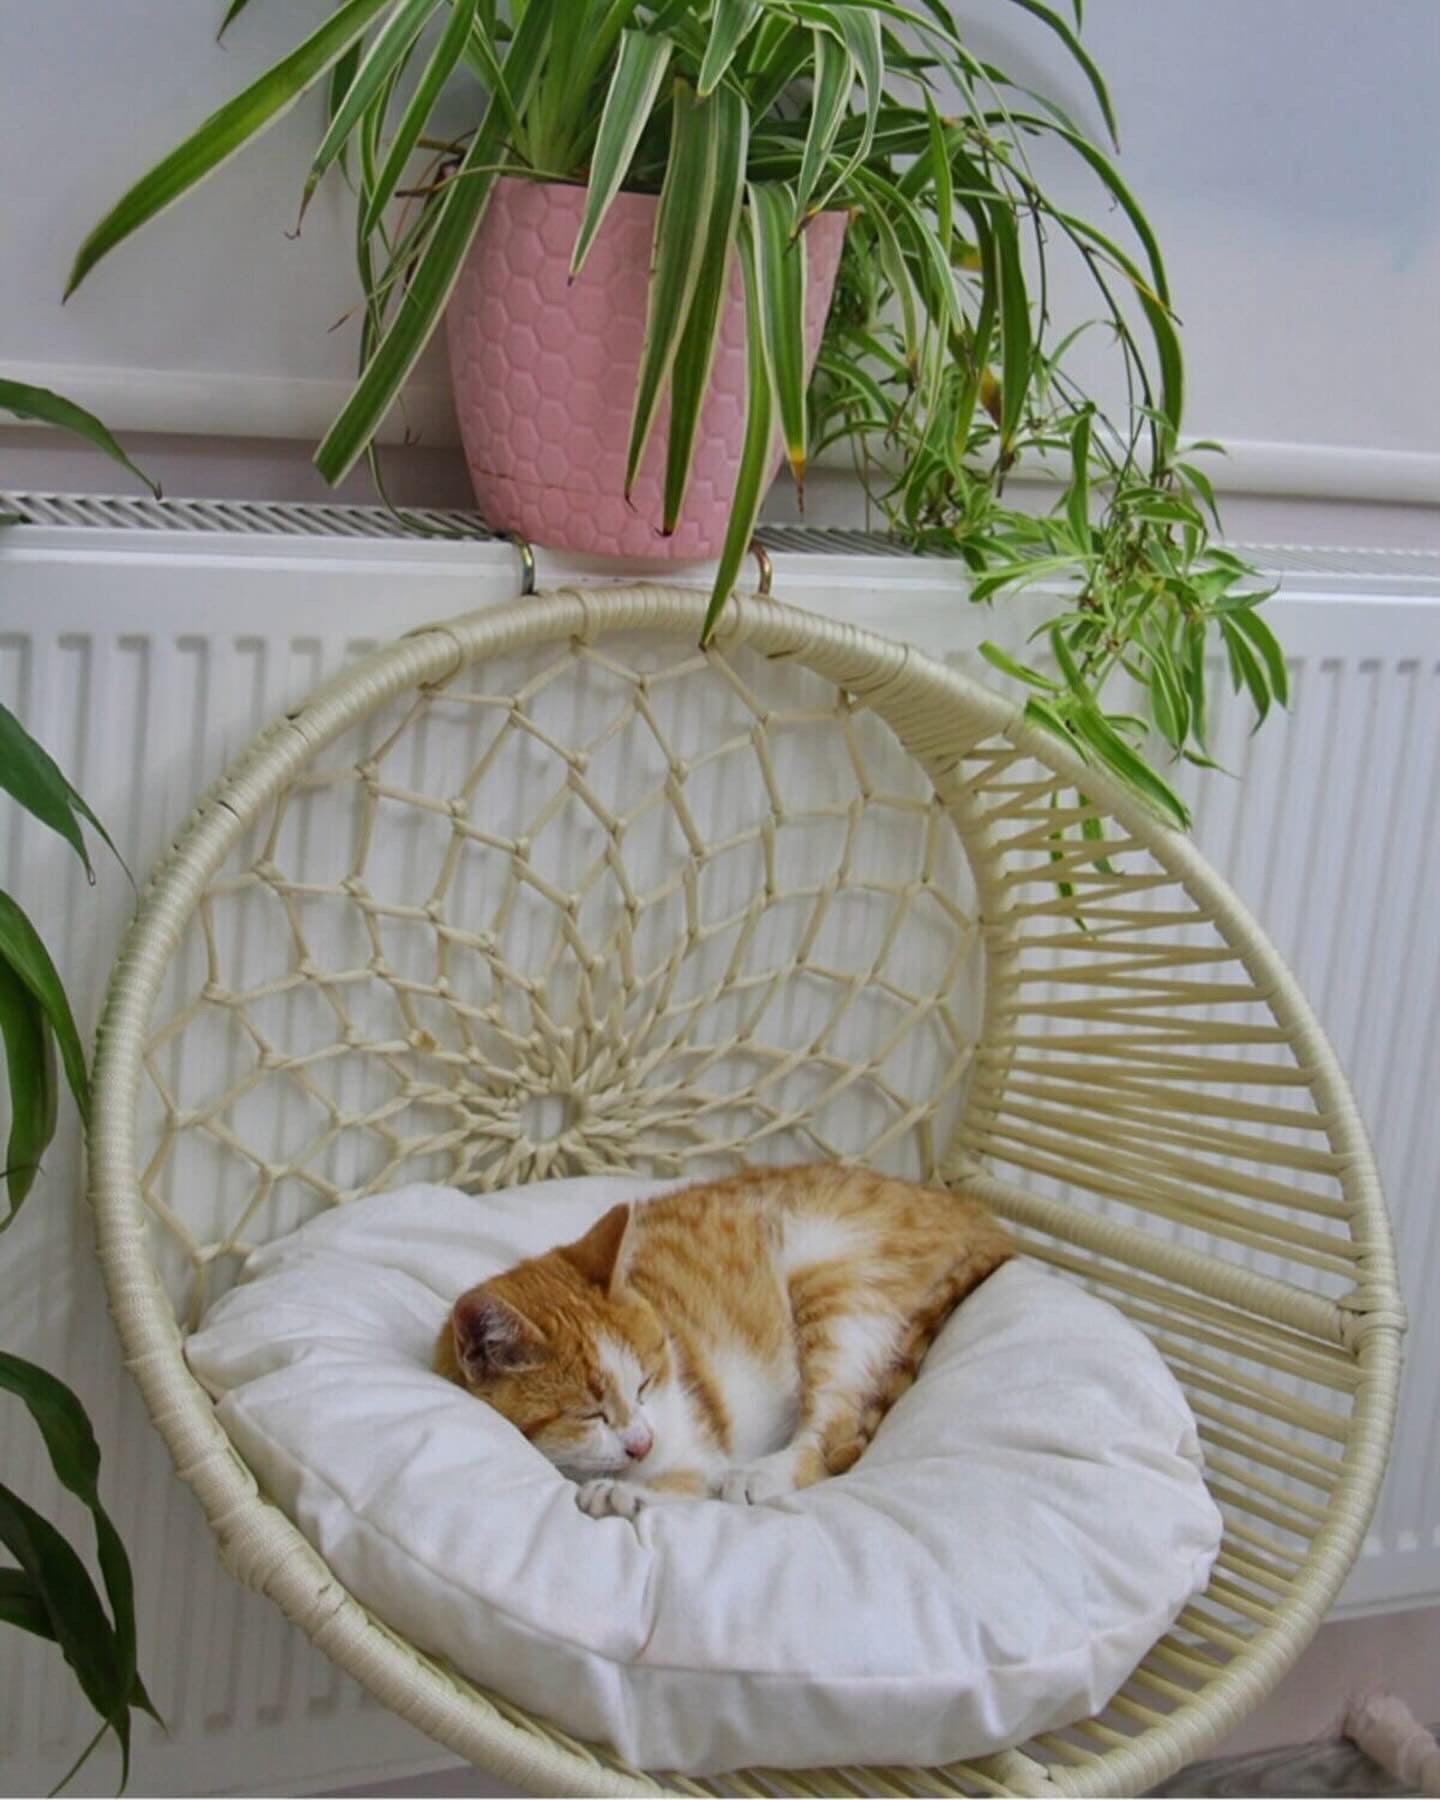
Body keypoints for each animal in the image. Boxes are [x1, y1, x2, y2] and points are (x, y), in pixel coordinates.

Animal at [435, 1159, 1015, 1512]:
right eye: (587, 1414)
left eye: (645, 1383)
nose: (643, 1442)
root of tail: (976, 1214)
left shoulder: (694, 1448)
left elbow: (690, 1482)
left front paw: (627, 1495)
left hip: (833, 1282)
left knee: (831, 1435)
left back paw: (762, 1475)